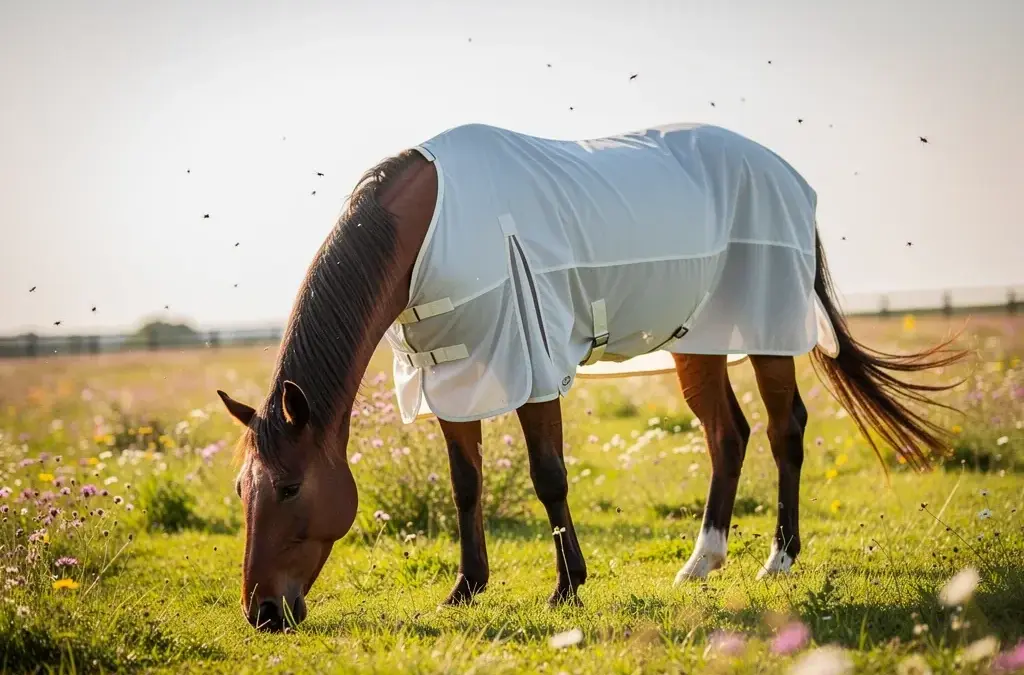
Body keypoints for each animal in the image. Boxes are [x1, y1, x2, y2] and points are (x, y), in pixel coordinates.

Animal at [216, 122, 965, 631]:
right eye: (242, 488)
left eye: (289, 487)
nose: (264, 612)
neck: (427, 229)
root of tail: (788, 175)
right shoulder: (453, 374)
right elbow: (465, 486)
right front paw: (466, 587)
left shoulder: (530, 363)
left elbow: (548, 476)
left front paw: (567, 587)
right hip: (698, 341)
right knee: (728, 435)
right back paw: (702, 561)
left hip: (764, 331)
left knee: (786, 429)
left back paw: (778, 558)